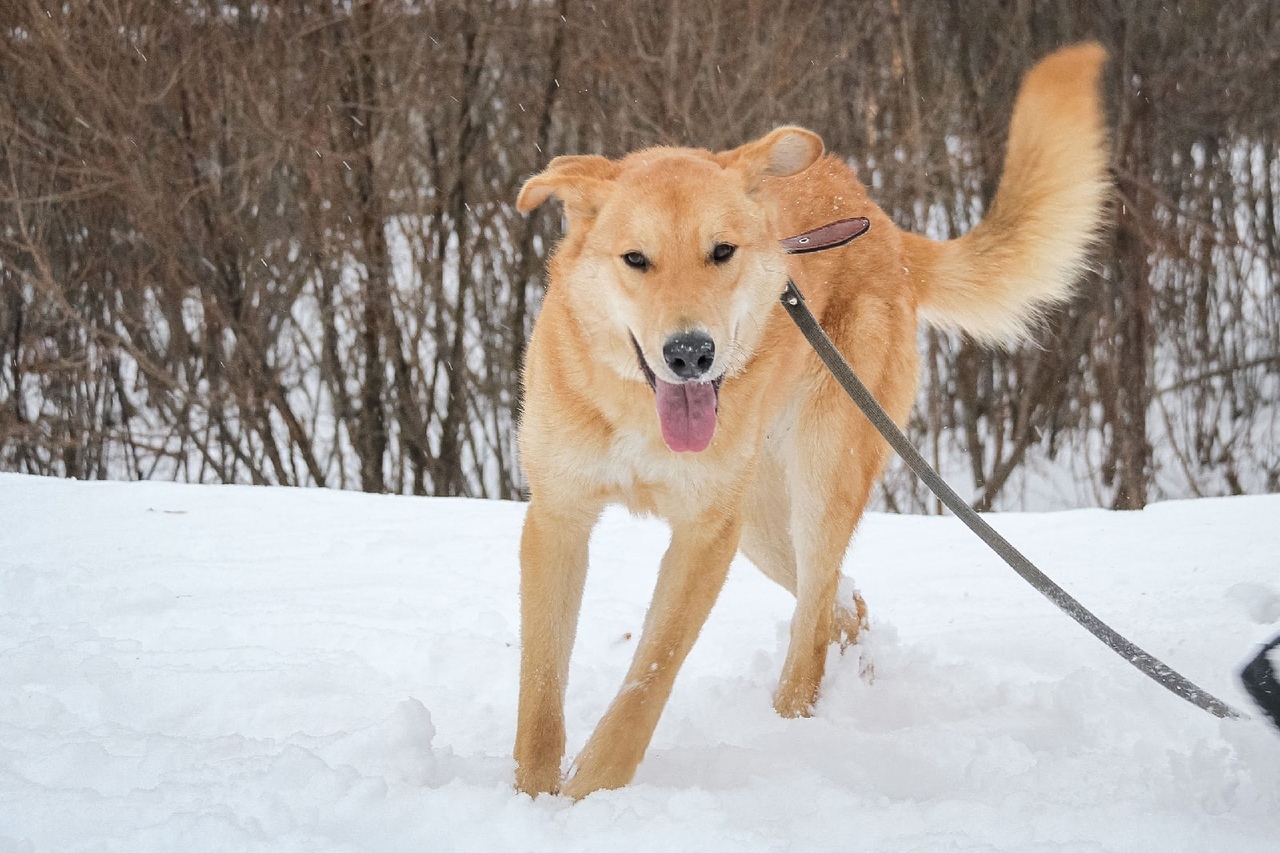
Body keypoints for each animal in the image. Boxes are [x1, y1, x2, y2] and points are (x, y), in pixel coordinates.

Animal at [509, 43, 1111, 794]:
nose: (690, 353)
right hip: (763, 527)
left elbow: (646, 684)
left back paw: (793, 727)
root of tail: (882, 223)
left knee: (813, 623)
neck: (637, 412)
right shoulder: (558, 519)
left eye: (722, 251)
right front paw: (533, 797)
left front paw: (590, 793)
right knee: (837, 605)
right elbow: (540, 692)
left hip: (816, 486)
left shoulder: (704, 537)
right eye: (635, 259)